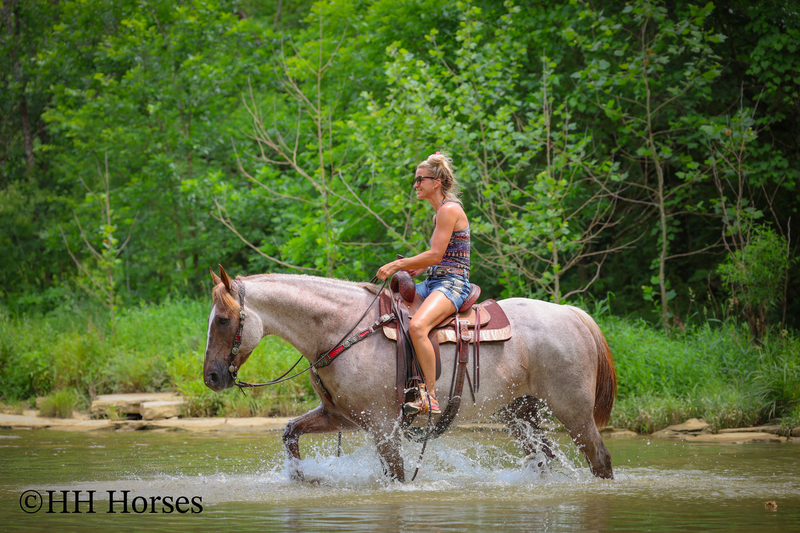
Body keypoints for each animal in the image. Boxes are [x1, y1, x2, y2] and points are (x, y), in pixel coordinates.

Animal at [203, 267, 617, 482]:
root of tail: (572, 314)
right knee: (546, 459)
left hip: (573, 411)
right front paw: (302, 477)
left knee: (600, 460)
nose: (211, 377)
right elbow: (290, 432)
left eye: (222, 319)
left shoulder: (383, 424)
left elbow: (397, 474)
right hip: (519, 412)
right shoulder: (342, 416)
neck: (342, 329)